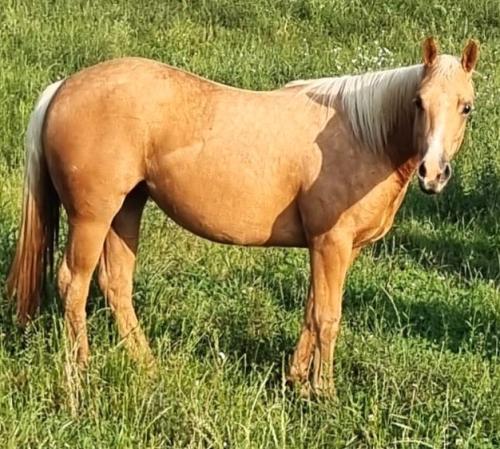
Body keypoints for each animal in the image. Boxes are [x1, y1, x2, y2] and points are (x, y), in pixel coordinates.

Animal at [6, 37, 476, 392]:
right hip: (92, 217)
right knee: (74, 283)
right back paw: (80, 371)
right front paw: (324, 394)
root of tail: (64, 86)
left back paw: (147, 365)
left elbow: (311, 311)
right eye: (418, 101)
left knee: (115, 284)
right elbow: (328, 317)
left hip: (126, 210)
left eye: (466, 106)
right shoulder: (331, 244)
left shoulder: (333, 249)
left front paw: (296, 381)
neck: (362, 134)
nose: (433, 173)